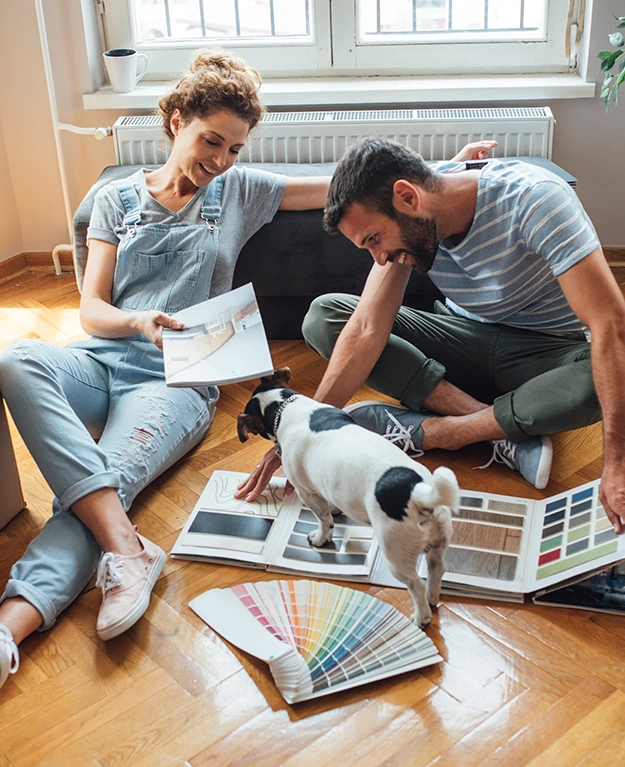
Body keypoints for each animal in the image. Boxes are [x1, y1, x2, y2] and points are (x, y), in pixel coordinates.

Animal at [235, 370, 458, 632]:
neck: (285, 406)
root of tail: (418, 492)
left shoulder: (305, 492)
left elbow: (324, 520)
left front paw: (320, 538)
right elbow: (330, 505)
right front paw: (335, 510)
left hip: (396, 553)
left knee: (416, 585)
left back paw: (421, 617)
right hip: (438, 541)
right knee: (436, 569)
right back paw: (433, 598)